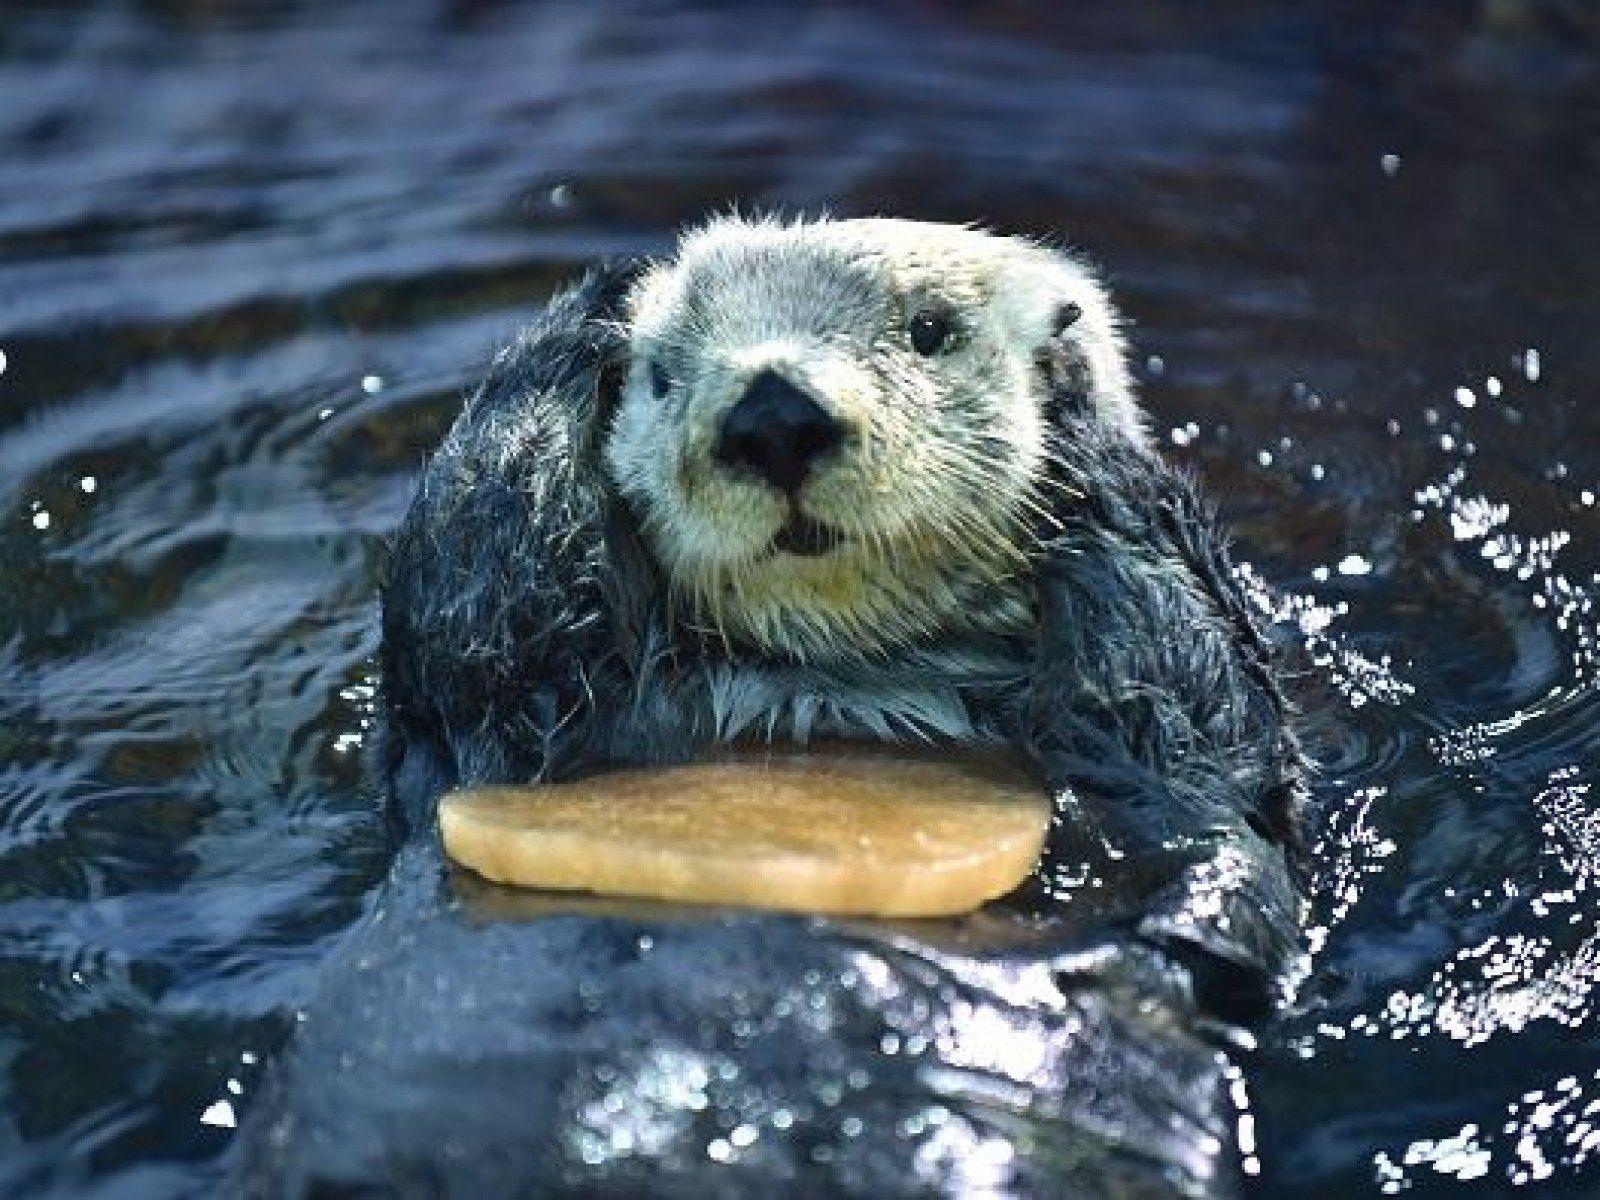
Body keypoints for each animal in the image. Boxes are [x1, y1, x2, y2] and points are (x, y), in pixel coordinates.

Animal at [243, 217, 1307, 1199]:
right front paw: (591, 311)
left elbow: (1198, 726)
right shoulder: (491, 719)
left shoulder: (1173, 776)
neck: (832, 691)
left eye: (931, 330)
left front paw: (1076, 404)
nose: (773, 415)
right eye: (664, 375)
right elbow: (474, 581)